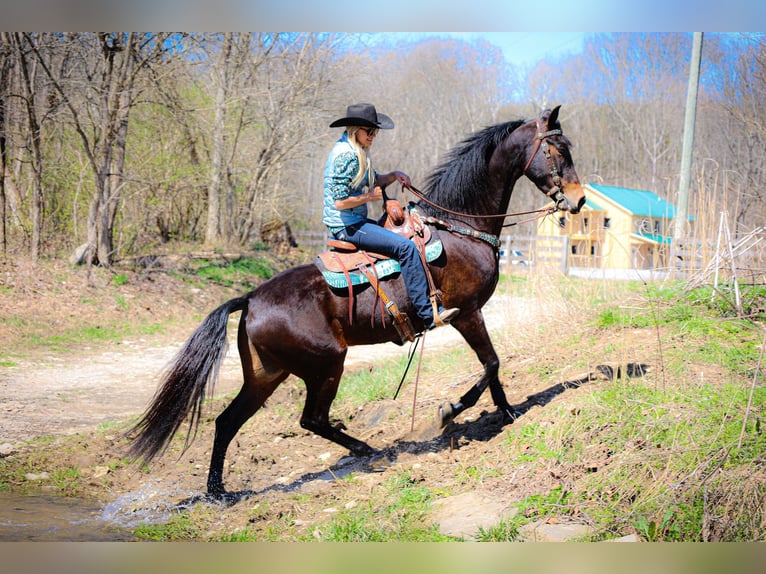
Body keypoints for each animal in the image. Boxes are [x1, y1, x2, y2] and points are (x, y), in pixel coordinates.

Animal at [126, 104, 584, 500]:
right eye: (558, 150)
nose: (578, 200)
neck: (458, 226)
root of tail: (251, 299)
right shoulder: (466, 314)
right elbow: (491, 364)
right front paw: (451, 411)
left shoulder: (473, 315)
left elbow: (494, 370)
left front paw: (507, 414)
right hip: (326, 364)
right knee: (310, 418)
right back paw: (368, 451)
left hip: (266, 374)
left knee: (226, 422)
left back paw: (219, 492)